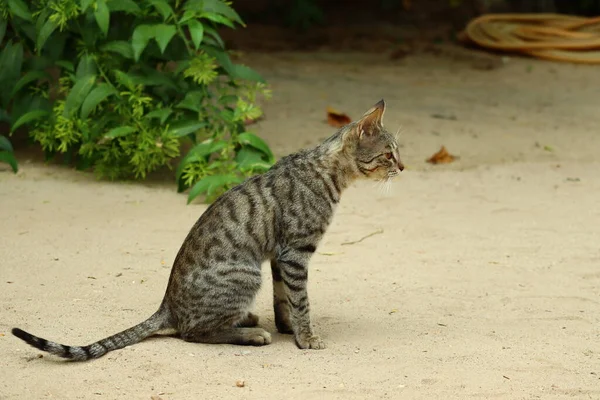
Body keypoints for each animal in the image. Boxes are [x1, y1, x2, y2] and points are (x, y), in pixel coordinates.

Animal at [12, 98, 404, 360]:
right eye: (388, 154)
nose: (403, 167)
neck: (327, 173)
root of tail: (166, 306)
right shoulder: (296, 252)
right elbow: (301, 299)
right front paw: (306, 338)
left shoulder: (281, 256)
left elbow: (284, 298)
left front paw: (288, 327)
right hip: (246, 275)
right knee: (192, 332)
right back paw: (251, 334)